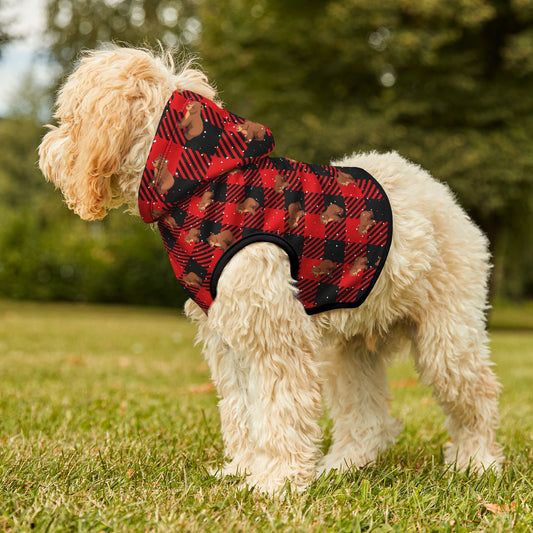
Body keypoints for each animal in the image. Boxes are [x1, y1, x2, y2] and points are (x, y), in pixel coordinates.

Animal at [39, 44, 500, 490]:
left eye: (70, 118)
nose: (45, 152)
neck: (205, 184)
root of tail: (439, 191)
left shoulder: (274, 333)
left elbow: (279, 410)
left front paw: (275, 480)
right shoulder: (228, 337)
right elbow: (242, 411)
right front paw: (243, 470)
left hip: (447, 338)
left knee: (478, 397)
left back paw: (477, 463)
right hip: (349, 351)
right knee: (368, 418)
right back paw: (344, 466)